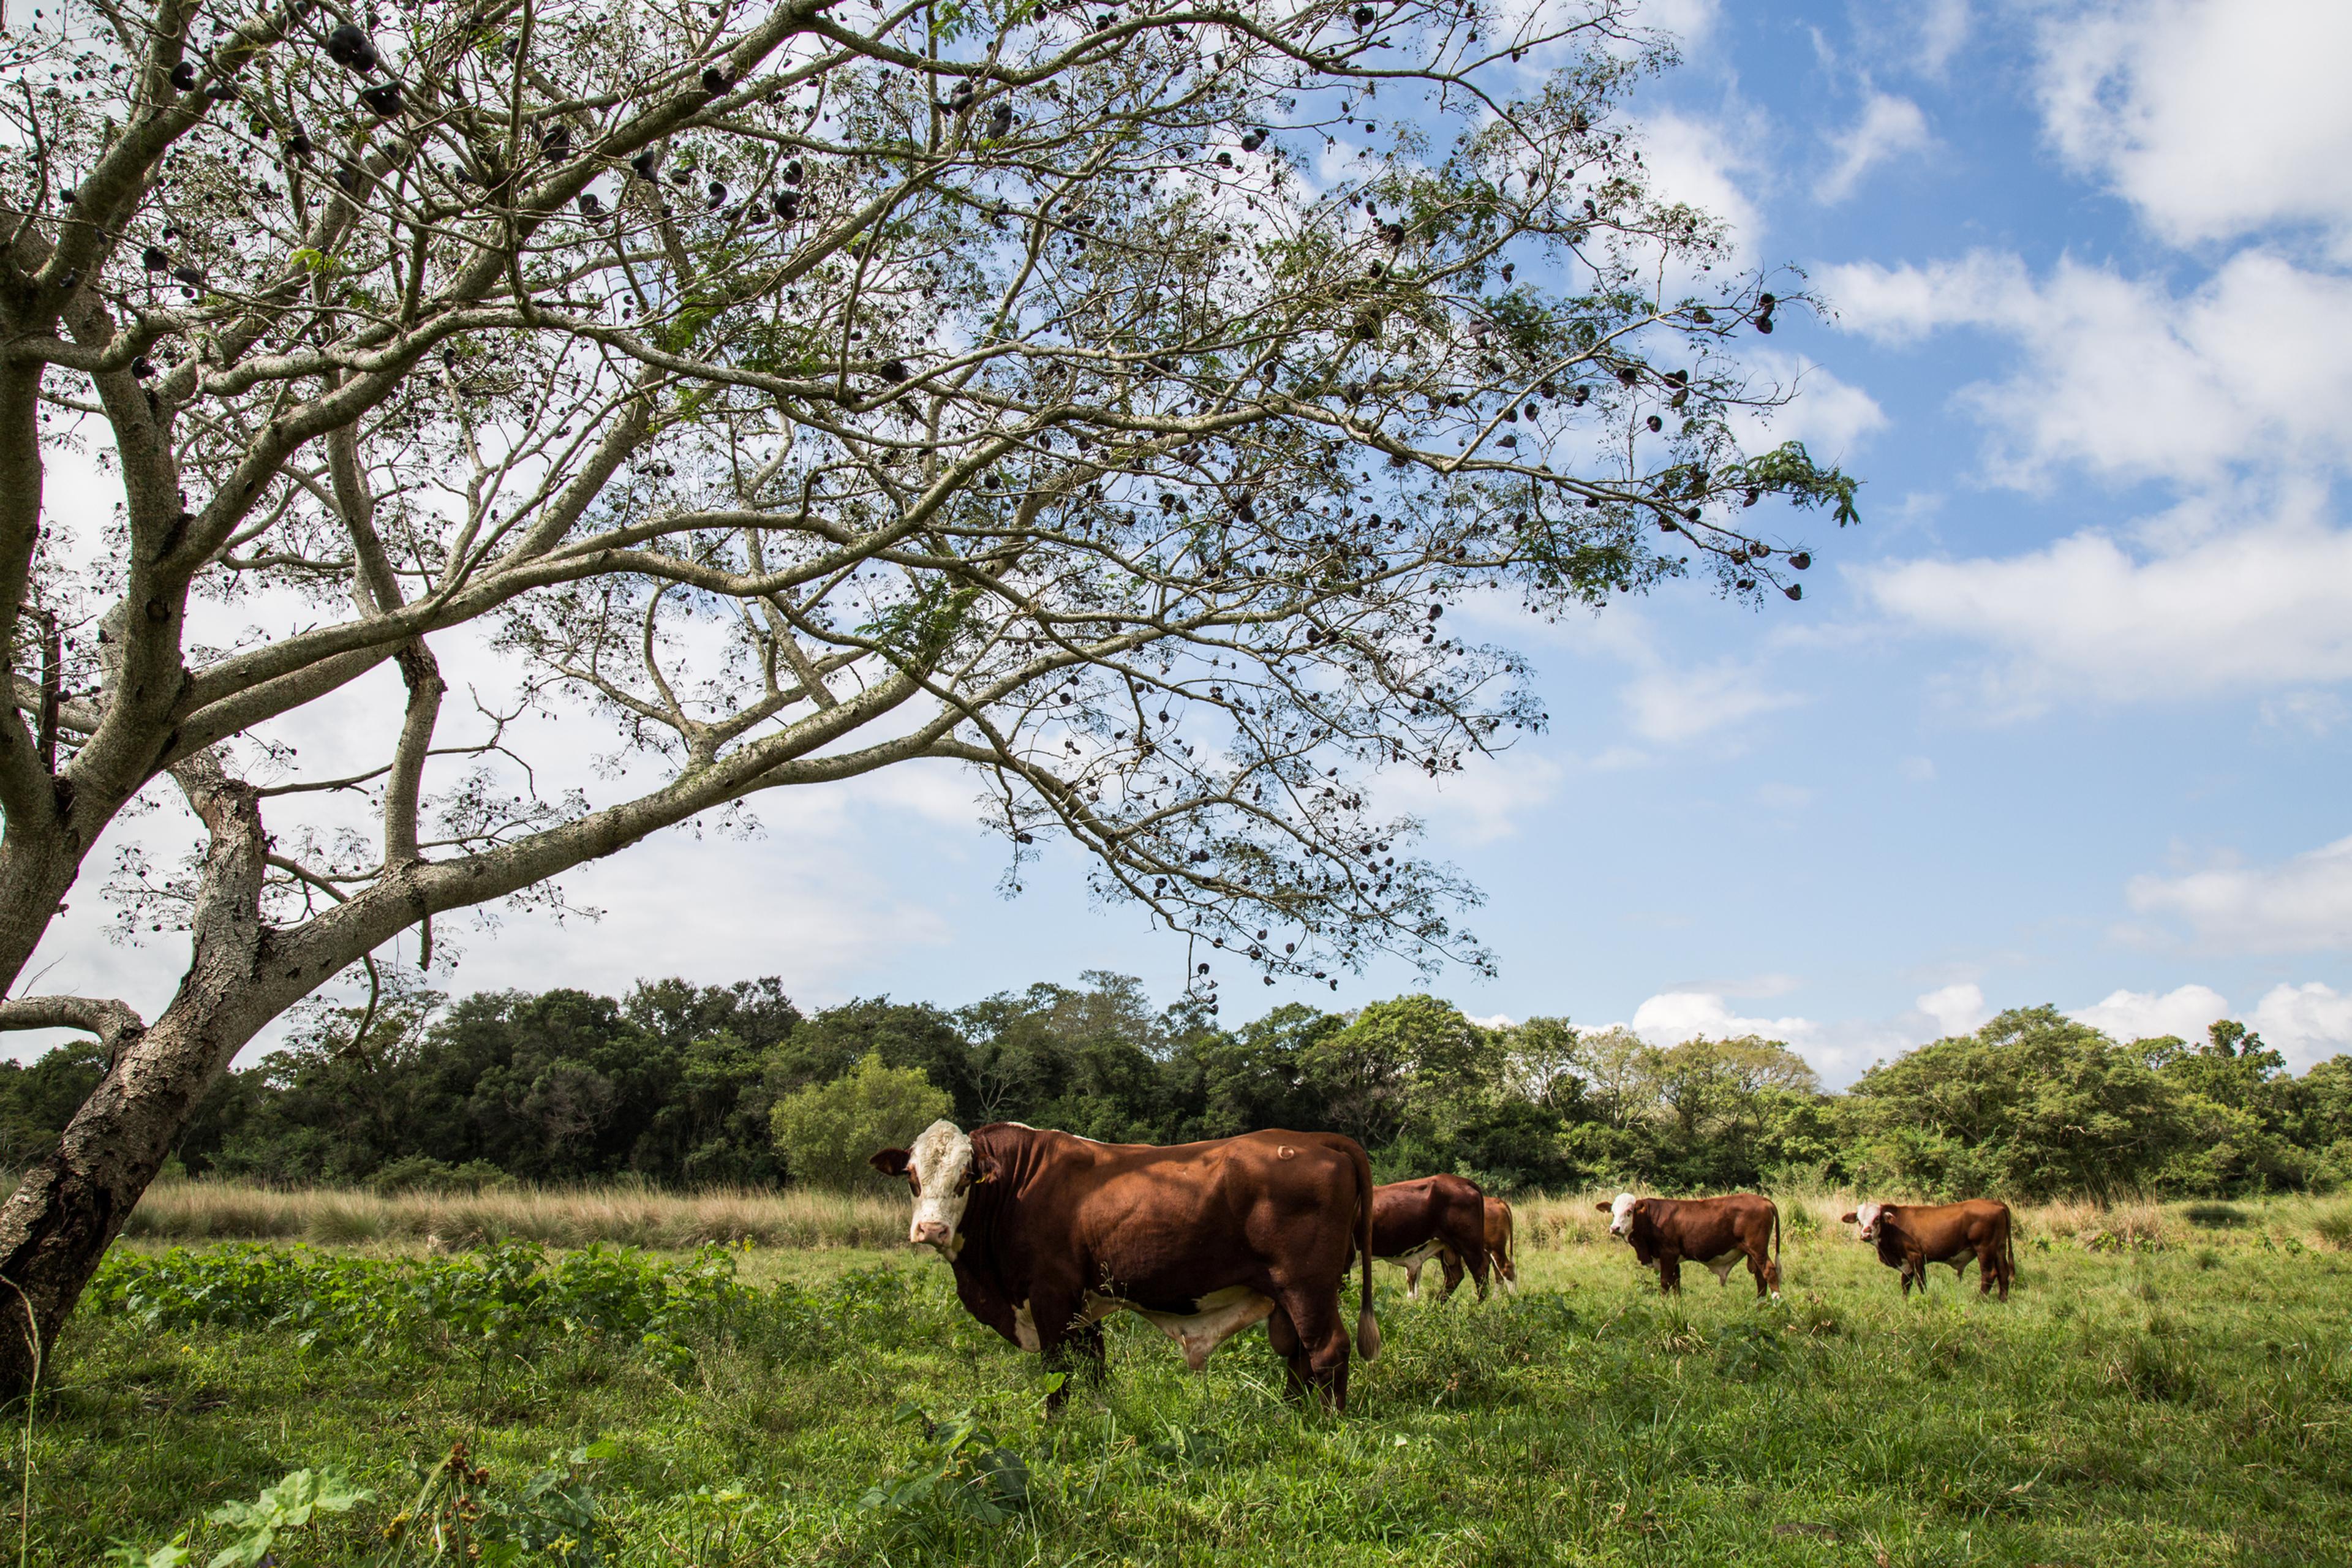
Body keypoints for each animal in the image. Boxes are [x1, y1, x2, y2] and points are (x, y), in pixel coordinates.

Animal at [870, 1121, 1380, 1408]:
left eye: (965, 1178)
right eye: (913, 1178)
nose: (931, 1230)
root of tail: (1315, 1139)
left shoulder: (1050, 1297)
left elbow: (1059, 1372)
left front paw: (1058, 1429)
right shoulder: (1081, 1306)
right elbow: (1094, 1367)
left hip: (1306, 1286)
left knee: (1327, 1351)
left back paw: (1326, 1423)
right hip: (1295, 1293)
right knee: (1297, 1354)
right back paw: (1292, 1417)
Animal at [1370, 1174, 1491, 1302]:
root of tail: (1464, 1181)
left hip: (1468, 1244)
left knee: (1480, 1270)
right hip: (1449, 1247)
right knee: (1454, 1275)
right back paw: (1435, 1304)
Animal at [1598, 1192, 1782, 1298]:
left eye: (1629, 1211)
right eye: (1613, 1212)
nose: (1615, 1228)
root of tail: (1764, 1200)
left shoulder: (1668, 1253)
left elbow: (1665, 1281)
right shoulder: (1674, 1258)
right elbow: (1676, 1283)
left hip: (1757, 1248)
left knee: (1769, 1272)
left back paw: (1775, 1303)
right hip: (1754, 1252)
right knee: (1760, 1277)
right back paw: (1760, 1305)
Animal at [1842, 1200, 2016, 1300]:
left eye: (1877, 1218)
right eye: (1859, 1219)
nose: (1865, 1234)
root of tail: (1996, 1203)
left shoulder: (1915, 1256)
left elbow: (1921, 1282)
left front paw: (1924, 1298)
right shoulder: (1906, 1262)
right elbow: (1905, 1284)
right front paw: (1905, 1301)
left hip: (1985, 1248)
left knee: (1989, 1274)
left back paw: (1980, 1299)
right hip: (1999, 1248)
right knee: (2003, 1272)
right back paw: (2002, 1299)